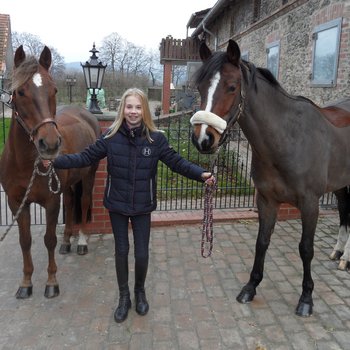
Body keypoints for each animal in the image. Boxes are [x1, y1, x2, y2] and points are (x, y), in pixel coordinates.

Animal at [0, 45, 101, 298]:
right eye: (20, 92)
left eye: (54, 89)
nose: (51, 144)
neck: (26, 164)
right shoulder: (16, 203)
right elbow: (25, 241)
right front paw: (26, 283)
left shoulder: (51, 202)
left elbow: (48, 239)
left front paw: (51, 282)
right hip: (68, 183)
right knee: (72, 203)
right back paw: (67, 242)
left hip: (88, 176)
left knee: (83, 202)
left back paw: (81, 242)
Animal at [190, 39, 350, 316]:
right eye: (200, 87)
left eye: (232, 87)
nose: (203, 139)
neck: (288, 138)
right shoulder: (266, 200)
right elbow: (261, 241)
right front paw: (250, 287)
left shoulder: (310, 204)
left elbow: (305, 249)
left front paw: (306, 298)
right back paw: (338, 253)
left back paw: (346, 259)